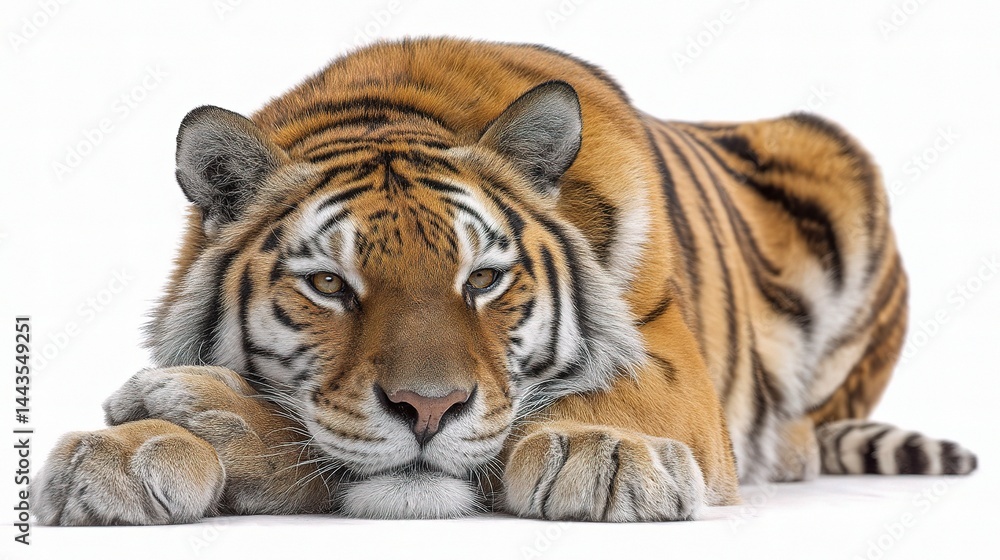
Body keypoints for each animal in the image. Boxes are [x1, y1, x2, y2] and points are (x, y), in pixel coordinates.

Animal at [34, 37, 977, 525]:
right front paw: (120, 453)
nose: (428, 409)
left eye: (483, 279)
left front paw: (602, 454)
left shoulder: (677, 372)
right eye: (331, 286)